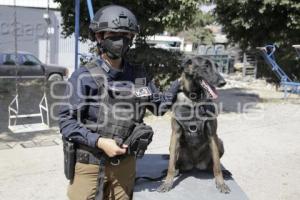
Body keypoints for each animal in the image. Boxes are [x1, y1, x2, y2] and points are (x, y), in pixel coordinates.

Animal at [157, 55, 230, 194]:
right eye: (206, 66)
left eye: (217, 66)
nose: (223, 82)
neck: (194, 99)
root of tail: (195, 165)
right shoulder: (175, 134)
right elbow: (171, 164)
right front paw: (168, 182)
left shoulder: (212, 135)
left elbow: (217, 164)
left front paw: (221, 183)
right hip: (174, 147)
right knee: (175, 163)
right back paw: (175, 171)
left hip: (220, 143)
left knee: (212, 165)